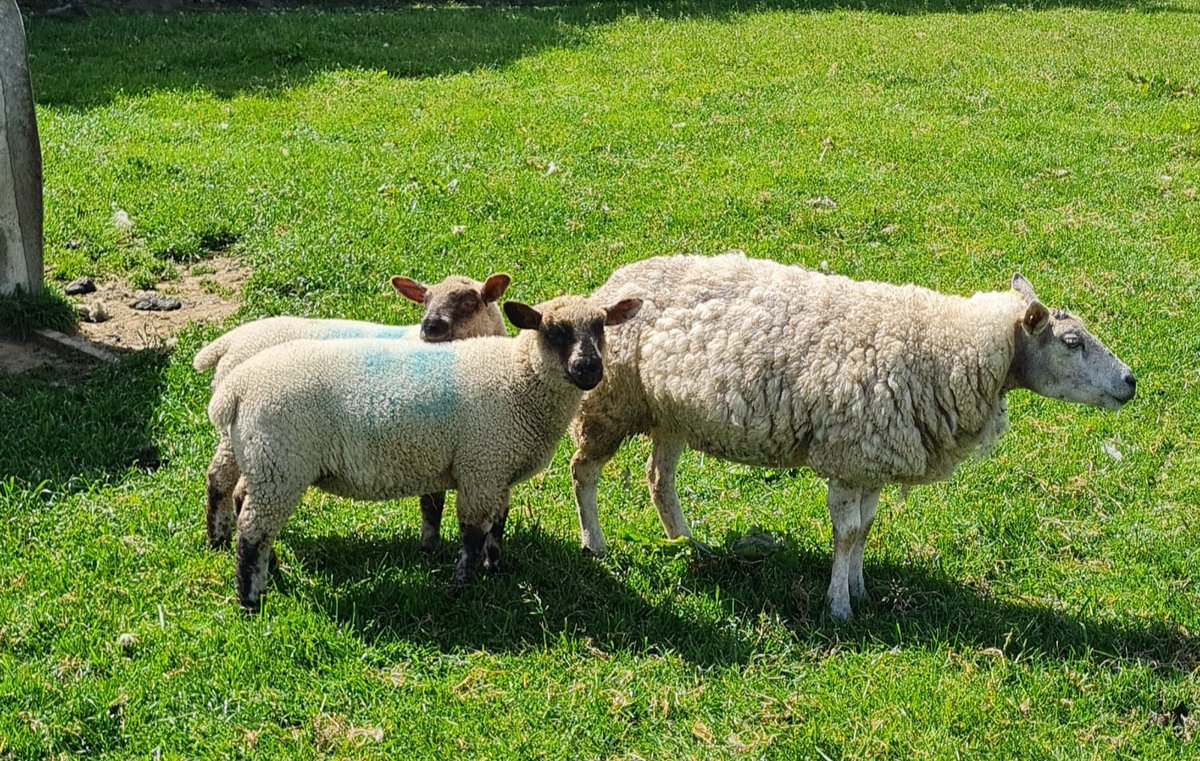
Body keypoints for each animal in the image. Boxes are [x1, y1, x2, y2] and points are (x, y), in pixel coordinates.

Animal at [194, 273, 511, 553]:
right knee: (222, 480)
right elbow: (432, 502)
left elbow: (432, 502)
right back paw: (220, 540)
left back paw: (220, 540)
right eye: (426, 300)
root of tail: (231, 341)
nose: (430, 326)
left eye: (469, 301)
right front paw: (430, 549)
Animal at [207, 294, 643, 611]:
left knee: (242, 502)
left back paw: (264, 569)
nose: (589, 369)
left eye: (601, 326)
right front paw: (463, 587)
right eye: (553, 331)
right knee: (251, 531)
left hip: (264, 461)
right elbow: (472, 532)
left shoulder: (497, 468)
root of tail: (237, 387)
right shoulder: (481, 465)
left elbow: (497, 525)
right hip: (280, 465)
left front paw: (495, 569)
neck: (521, 379)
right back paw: (250, 599)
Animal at [569, 252, 1136, 620]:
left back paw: (686, 543)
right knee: (584, 470)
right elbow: (844, 534)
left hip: (670, 412)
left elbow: (864, 530)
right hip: (610, 400)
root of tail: (610, 285)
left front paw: (861, 592)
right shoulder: (846, 457)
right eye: (1072, 341)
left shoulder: (872, 459)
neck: (948, 346)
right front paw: (838, 605)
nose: (1131, 381)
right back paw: (595, 544)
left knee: (658, 478)